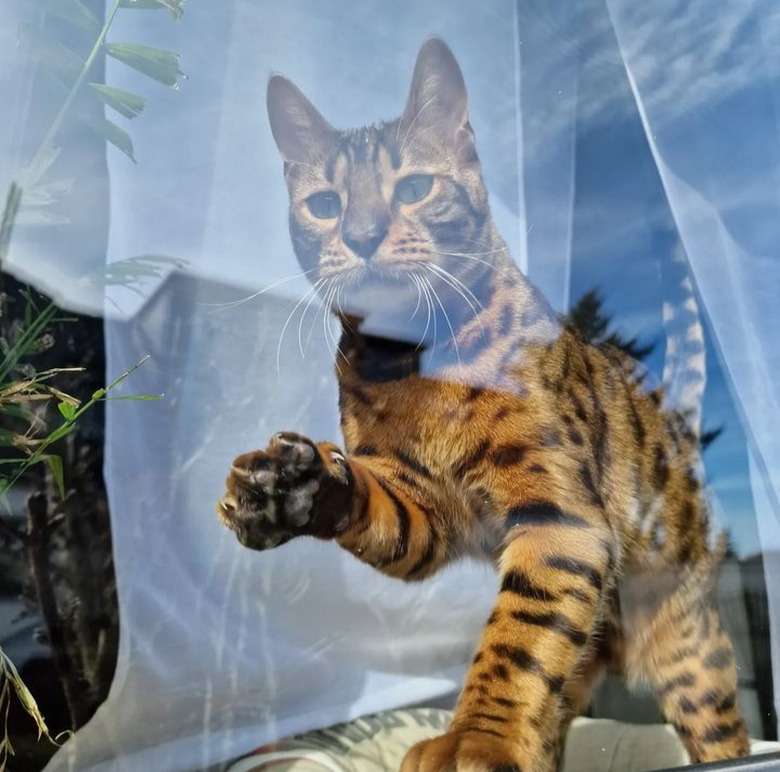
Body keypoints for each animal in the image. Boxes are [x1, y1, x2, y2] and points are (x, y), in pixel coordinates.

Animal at [218, 39, 748, 772]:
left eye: (415, 188)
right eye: (324, 204)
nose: (361, 235)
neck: (408, 362)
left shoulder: (563, 522)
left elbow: (516, 637)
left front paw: (477, 737)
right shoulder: (423, 511)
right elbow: (380, 511)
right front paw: (290, 487)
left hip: (690, 657)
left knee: (720, 731)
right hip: (587, 652)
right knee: (554, 707)